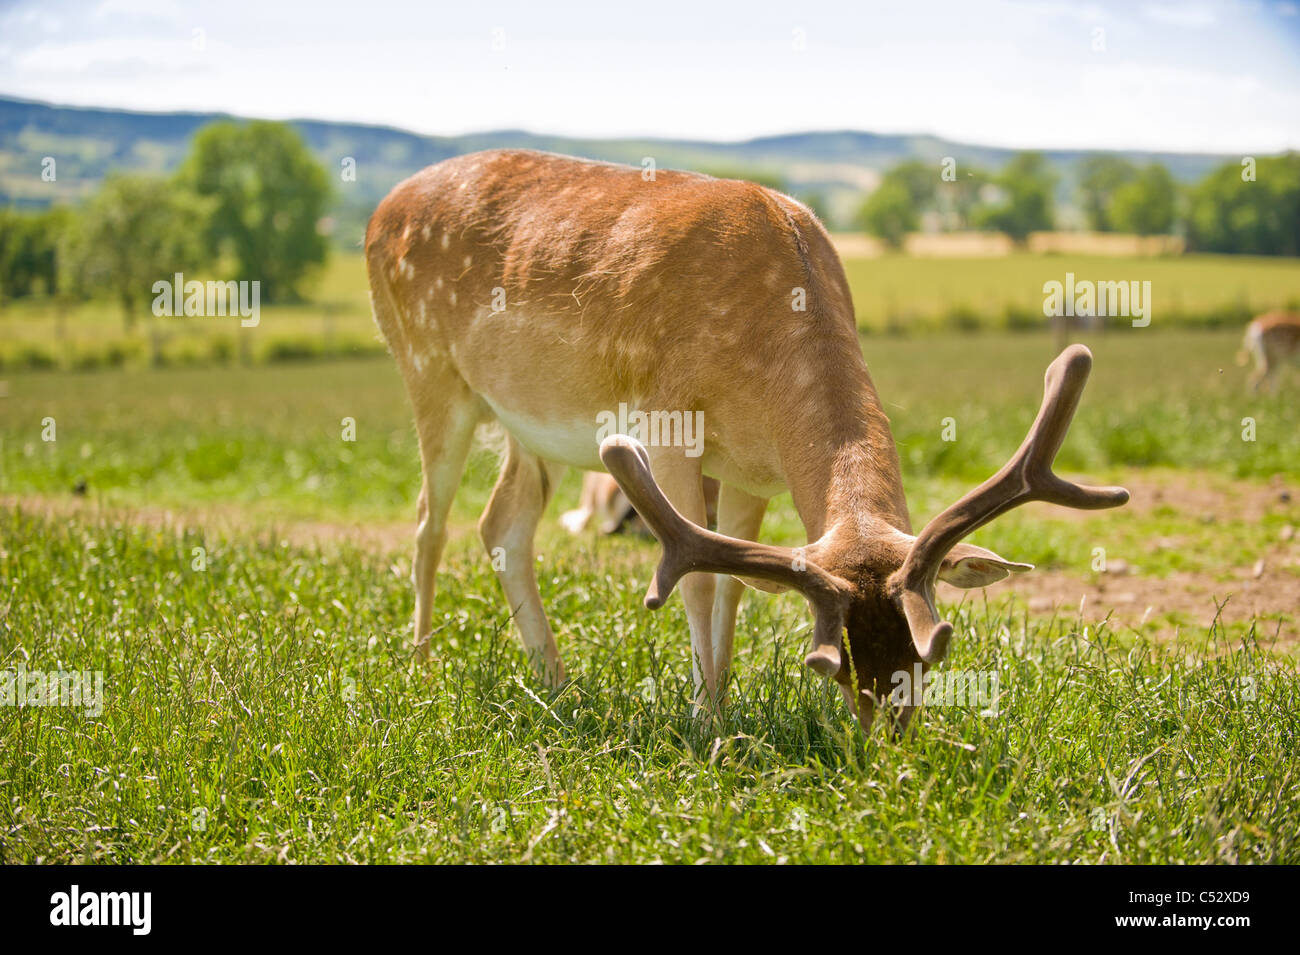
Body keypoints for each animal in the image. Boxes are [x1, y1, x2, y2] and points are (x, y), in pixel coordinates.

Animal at [366, 151, 1128, 722]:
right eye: (835, 663)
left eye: (929, 651)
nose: (890, 747)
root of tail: (378, 211)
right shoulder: (668, 427)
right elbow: (698, 579)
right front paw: (707, 723)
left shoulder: (752, 470)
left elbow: (734, 582)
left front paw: (722, 701)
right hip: (427, 369)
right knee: (429, 521)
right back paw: (423, 669)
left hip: (529, 428)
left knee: (502, 524)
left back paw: (558, 683)